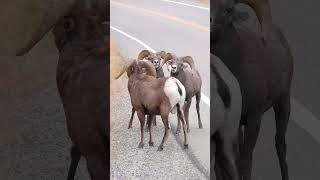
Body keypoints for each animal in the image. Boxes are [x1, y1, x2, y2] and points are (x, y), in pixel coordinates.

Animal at [211, 0, 294, 179]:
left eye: (229, 9)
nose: (211, 22)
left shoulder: (254, 118)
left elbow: (245, 160)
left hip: (283, 102)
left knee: (280, 142)